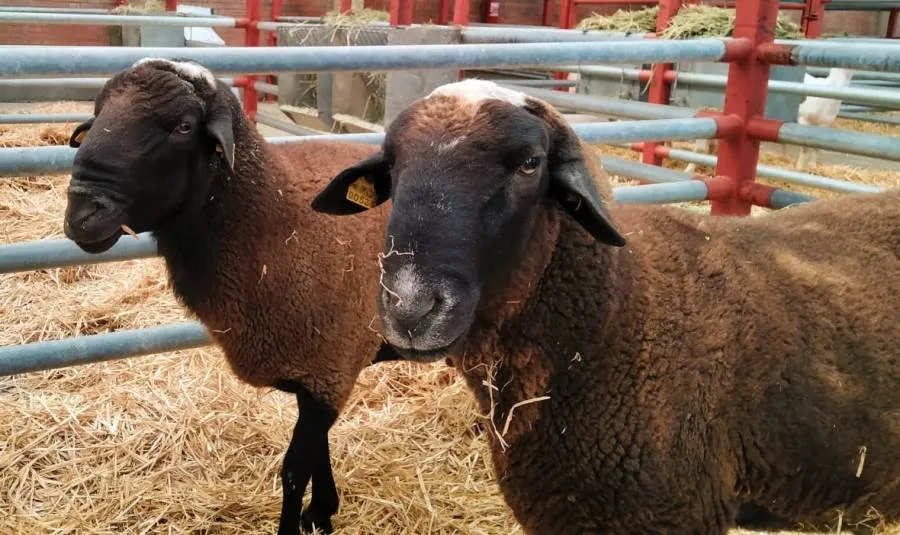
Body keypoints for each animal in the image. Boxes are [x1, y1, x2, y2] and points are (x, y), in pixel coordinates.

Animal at [61, 58, 398, 535]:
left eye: (184, 126)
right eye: (98, 113)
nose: (82, 215)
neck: (278, 221)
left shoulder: (329, 365)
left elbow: (295, 470)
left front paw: (303, 520)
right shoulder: (319, 370)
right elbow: (319, 454)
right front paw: (322, 513)